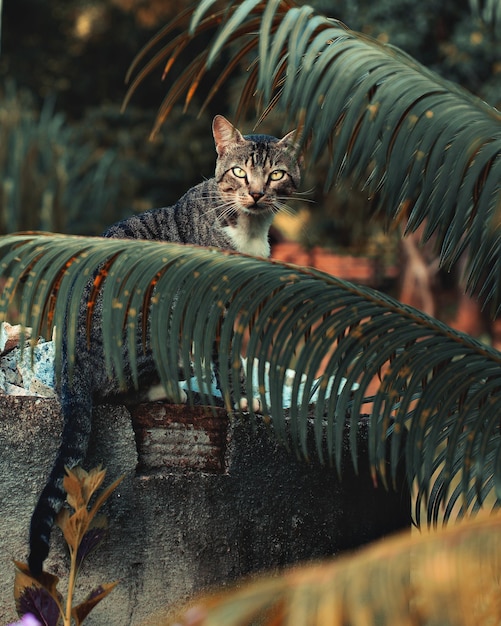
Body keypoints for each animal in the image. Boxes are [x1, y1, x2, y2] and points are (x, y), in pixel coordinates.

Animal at [28, 114, 300, 572]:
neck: (246, 228)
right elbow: (229, 359)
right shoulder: (214, 308)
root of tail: (68, 360)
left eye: (276, 174)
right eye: (239, 172)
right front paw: (246, 397)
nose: (257, 192)